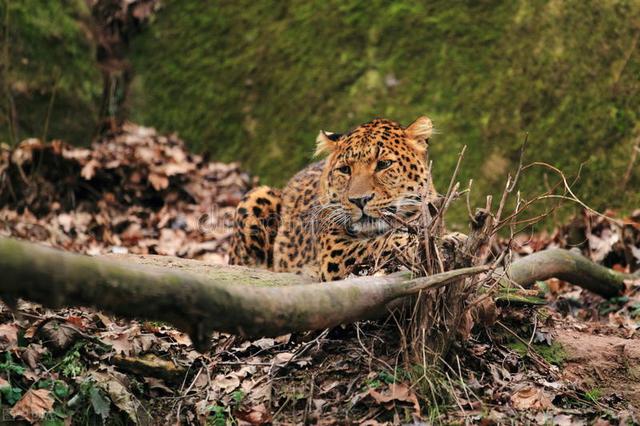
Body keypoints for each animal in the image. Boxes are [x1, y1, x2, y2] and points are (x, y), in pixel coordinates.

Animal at [228, 116, 442, 282]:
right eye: (345, 169)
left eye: (384, 164)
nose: (359, 200)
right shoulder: (335, 251)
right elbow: (377, 244)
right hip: (255, 197)